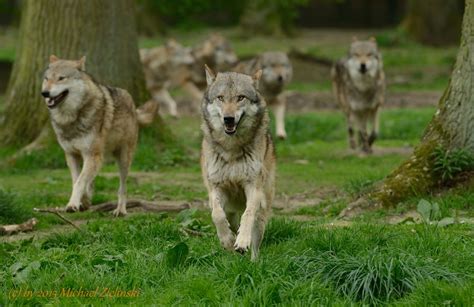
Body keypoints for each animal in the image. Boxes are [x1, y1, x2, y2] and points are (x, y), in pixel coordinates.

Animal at [41, 54, 156, 217]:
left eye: (61, 78)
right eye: (47, 78)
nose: (44, 93)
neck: (71, 118)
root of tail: (134, 106)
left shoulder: (92, 155)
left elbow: (79, 182)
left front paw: (72, 204)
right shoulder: (71, 155)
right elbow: (76, 180)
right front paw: (83, 201)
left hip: (123, 159)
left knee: (123, 187)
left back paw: (120, 210)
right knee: (93, 179)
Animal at [199, 66, 274, 262]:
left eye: (240, 97)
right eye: (220, 98)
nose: (228, 119)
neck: (231, 149)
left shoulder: (253, 187)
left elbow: (248, 214)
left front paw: (241, 242)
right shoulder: (216, 187)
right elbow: (217, 215)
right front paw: (226, 240)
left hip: (262, 211)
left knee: (255, 242)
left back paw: (252, 261)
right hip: (231, 210)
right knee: (230, 221)